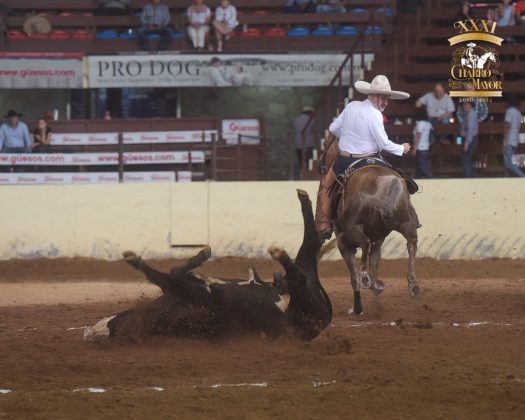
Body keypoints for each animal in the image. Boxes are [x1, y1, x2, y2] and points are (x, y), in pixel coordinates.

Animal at [318, 137, 420, 316]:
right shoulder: (379, 239)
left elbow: (354, 277)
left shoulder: (343, 243)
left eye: (325, 144)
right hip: (407, 222)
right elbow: (375, 261)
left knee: (364, 244)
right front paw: (376, 285)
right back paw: (412, 283)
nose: (321, 165)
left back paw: (364, 276)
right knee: (411, 244)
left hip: (351, 229)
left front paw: (357, 307)